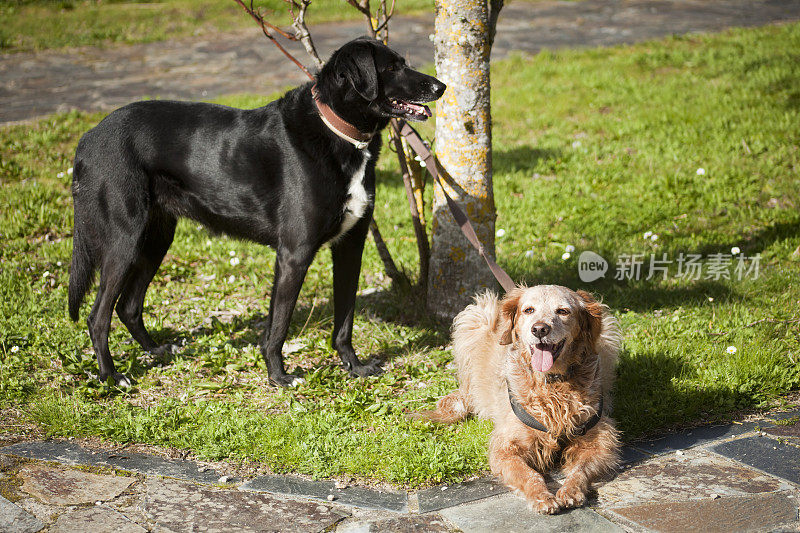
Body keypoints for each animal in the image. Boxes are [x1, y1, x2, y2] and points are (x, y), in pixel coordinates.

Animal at [69, 37, 446, 386]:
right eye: (392, 67)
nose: (441, 87)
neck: (339, 132)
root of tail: (88, 137)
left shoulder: (350, 246)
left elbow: (345, 320)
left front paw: (354, 367)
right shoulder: (294, 253)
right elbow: (278, 325)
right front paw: (279, 376)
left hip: (156, 237)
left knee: (128, 306)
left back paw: (157, 350)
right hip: (124, 240)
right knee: (98, 315)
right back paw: (111, 376)